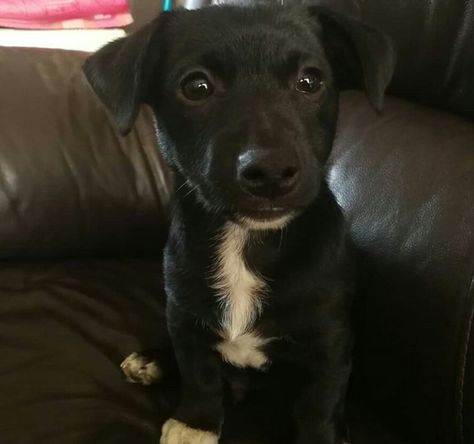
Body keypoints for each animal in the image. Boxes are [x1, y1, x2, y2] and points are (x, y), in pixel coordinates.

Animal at [83, 4, 394, 444]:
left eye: (310, 81)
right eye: (197, 87)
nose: (271, 172)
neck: (246, 240)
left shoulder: (330, 345)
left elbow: (318, 407)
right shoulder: (184, 316)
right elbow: (199, 375)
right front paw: (196, 423)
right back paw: (151, 359)